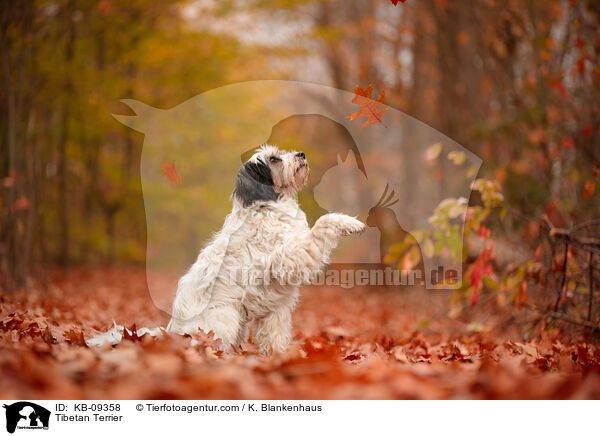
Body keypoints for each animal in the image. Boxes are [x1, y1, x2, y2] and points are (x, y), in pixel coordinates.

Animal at [165, 145, 366, 356]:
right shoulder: (288, 259)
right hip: (226, 318)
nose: (301, 155)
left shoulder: (276, 310)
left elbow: (274, 337)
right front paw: (349, 222)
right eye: (273, 159)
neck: (267, 206)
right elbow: (323, 222)